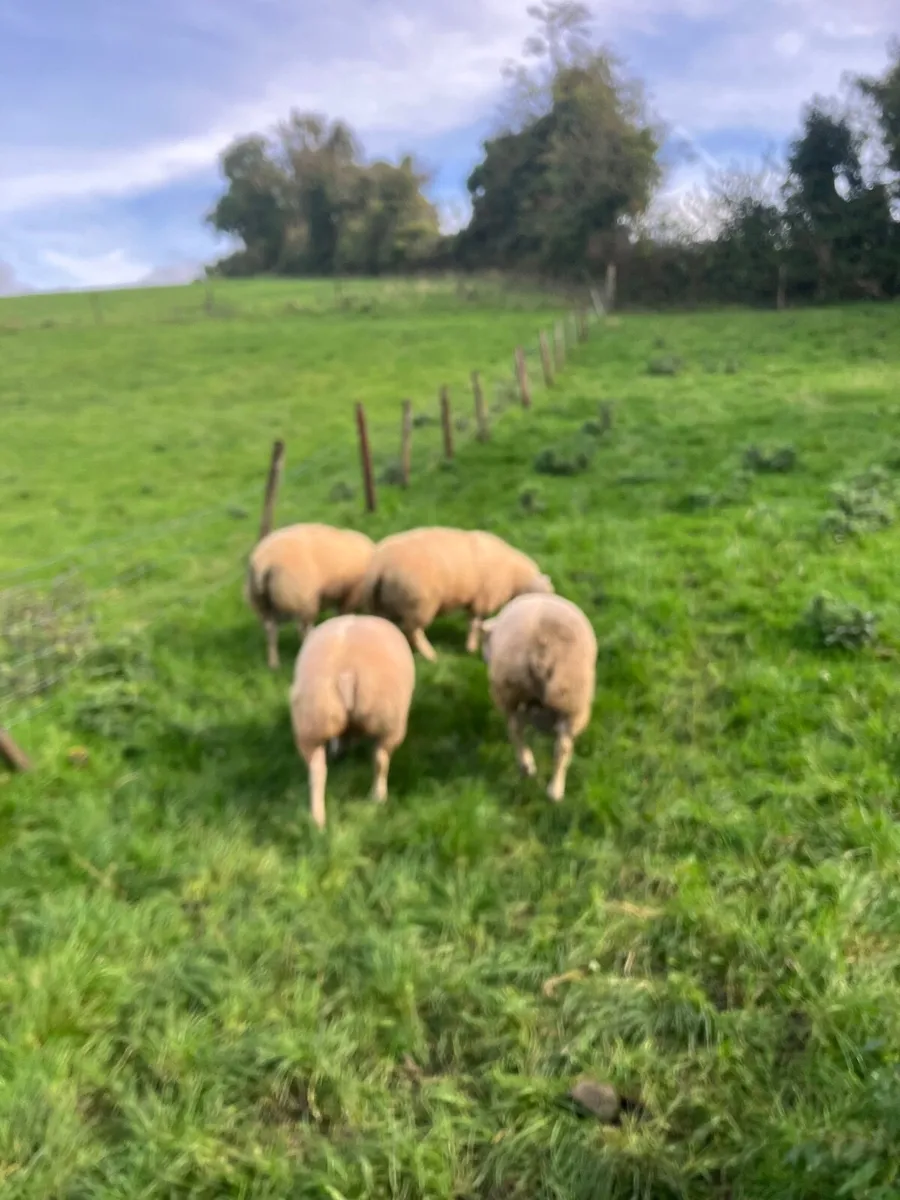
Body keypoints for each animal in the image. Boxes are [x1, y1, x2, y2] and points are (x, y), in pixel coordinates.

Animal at [245, 523, 374, 669]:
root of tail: (264, 561)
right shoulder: (351, 595)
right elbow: (344, 614)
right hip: (302, 599)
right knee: (303, 629)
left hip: (262, 603)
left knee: (270, 629)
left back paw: (274, 664)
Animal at [289, 614, 416, 830]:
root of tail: (345, 674)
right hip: (389, 722)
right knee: (380, 760)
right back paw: (378, 796)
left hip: (312, 722)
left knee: (317, 773)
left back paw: (317, 820)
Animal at [349, 526, 553, 661]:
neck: (515, 576)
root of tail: (379, 566)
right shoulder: (482, 599)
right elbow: (475, 623)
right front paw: (471, 647)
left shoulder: (475, 599)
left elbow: (475, 622)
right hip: (418, 604)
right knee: (413, 631)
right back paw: (430, 655)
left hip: (381, 605)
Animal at [480, 592, 597, 803]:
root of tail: (542, 648)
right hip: (571, 699)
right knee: (562, 746)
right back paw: (554, 790)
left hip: (510, 690)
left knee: (516, 728)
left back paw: (529, 768)